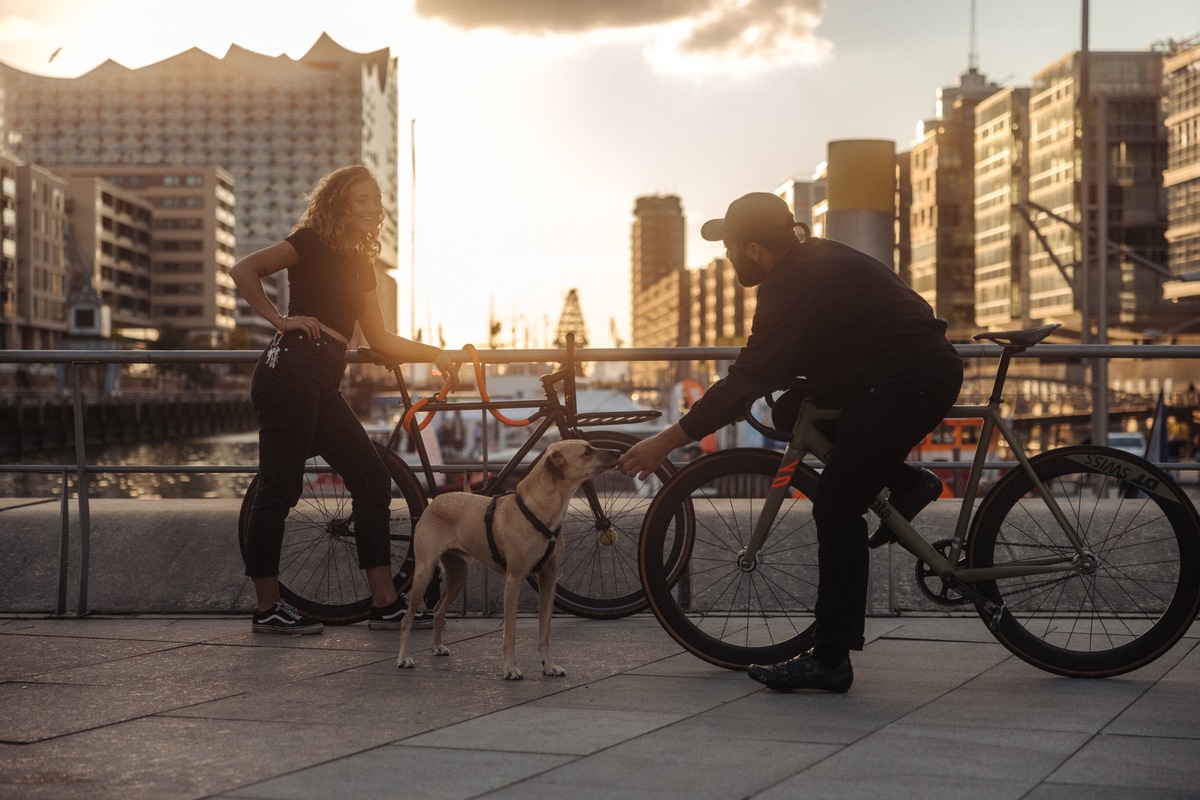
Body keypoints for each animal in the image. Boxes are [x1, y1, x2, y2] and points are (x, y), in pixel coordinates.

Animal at [396, 438, 619, 681]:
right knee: (406, 620)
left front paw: (549, 666)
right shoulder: (514, 579)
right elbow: (510, 633)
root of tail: (435, 501)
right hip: (424, 572)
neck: (539, 510)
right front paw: (510, 669)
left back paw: (436, 646)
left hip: (458, 575)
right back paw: (403, 658)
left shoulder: (548, 580)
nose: (617, 452)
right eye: (586, 452)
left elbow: (545, 631)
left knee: (438, 609)